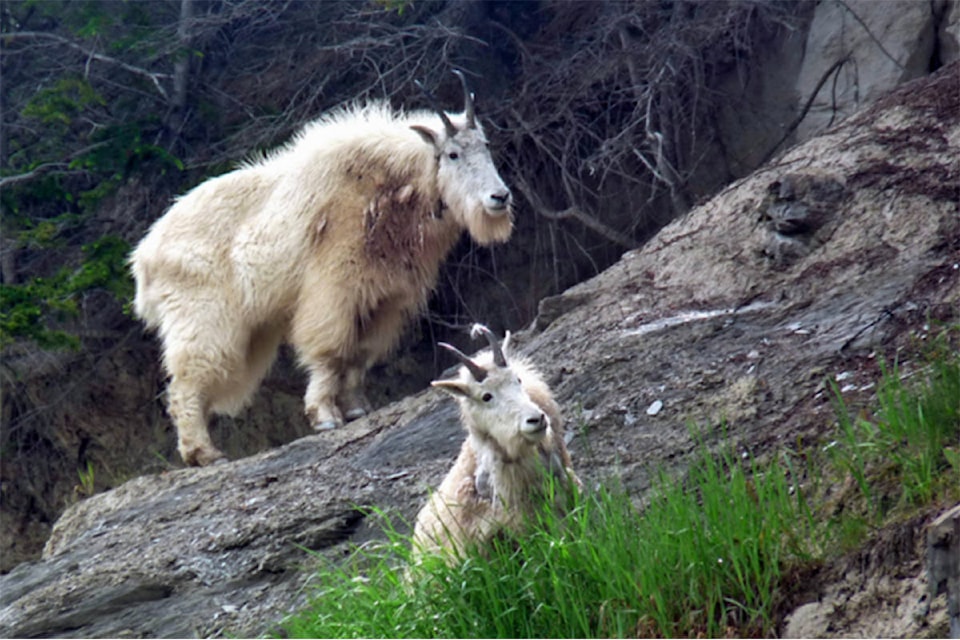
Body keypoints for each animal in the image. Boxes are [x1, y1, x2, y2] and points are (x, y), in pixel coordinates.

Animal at [133, 72, 516, 464]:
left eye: (485, 145)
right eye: (453, 154)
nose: (499, 198)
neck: (393, 186)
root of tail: (145, 256)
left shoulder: (384, 298)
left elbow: (360, 354)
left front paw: (357, 408)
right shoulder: (336, 287)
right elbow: (330, 349)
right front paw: (325, 416)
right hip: (202, 316)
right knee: (187, 381)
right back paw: (204, 452)